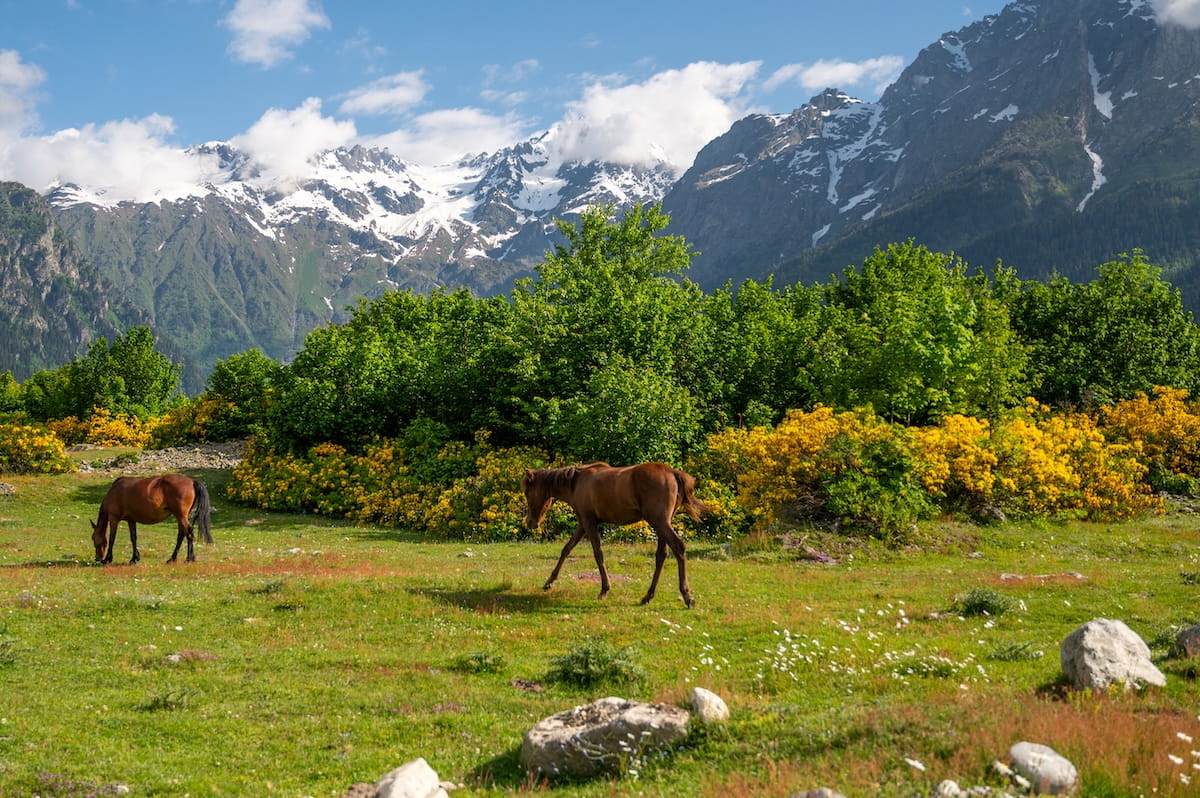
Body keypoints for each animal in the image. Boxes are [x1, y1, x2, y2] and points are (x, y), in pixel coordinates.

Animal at [521, 462, 709, 608]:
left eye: (527, 492)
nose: (530, 522)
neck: (576, 482)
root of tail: (672, 472)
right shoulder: (583, 523)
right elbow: (567, 549)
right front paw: (549, 582)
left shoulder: (589, 522)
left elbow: (598, 554)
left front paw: (604, 590)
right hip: (662, 524)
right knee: (662, 555)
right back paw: (648, 596)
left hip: (660, 522)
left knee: (679, 548)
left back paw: (687, 596)